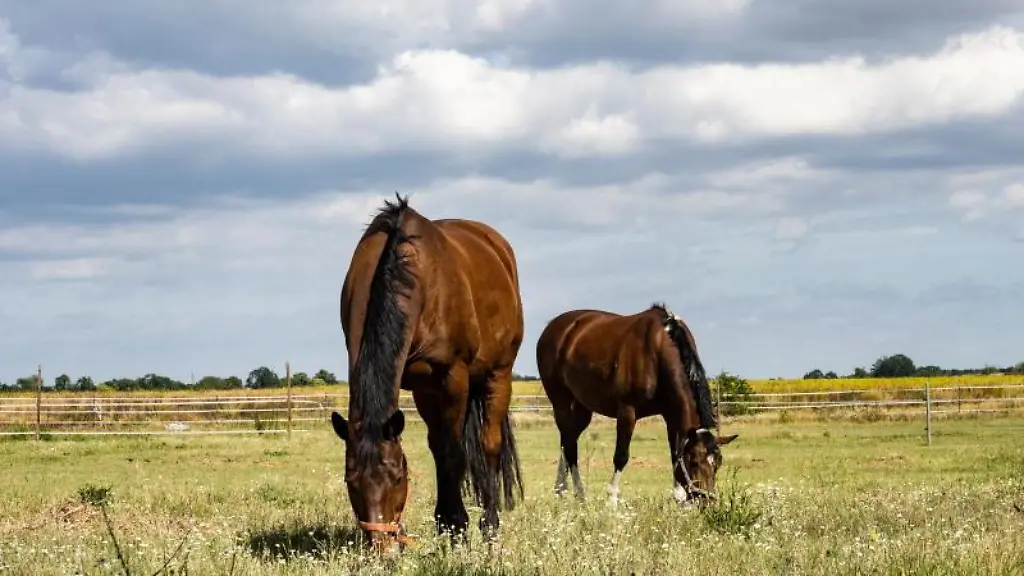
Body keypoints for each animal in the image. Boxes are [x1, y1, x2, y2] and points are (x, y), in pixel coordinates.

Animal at [330, 194, 525, 548]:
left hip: (498, 374)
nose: (382, 546)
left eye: (397, 476)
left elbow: (452, 454)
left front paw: (457, 528)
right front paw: (445, 523)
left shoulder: (453, 377)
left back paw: (489, 525)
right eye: (351, 480)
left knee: (488, 444)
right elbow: (439, 449)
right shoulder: (421, 385)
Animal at [535, 302, 738, 507]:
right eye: (695, 461)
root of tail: (553, 327)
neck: (658, 351)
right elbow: (621, 456)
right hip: (560, 402)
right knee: (569, 445)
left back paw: (561, 489)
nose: (707, 502)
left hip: (582, 407)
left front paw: (679, 499)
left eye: (718, 462)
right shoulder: (627, 411)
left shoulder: (671, 415)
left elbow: (675, 454)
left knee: (567, 439)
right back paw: (579, 494)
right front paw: (612, 501)